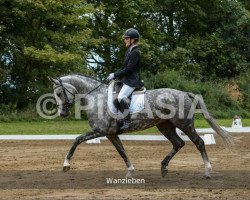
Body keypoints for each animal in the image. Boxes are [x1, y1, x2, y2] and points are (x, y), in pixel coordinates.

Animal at [49, 74, 233, 178]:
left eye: (59, 93)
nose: (62, 114)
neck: (96, 97)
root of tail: (185, 94)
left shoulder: (99, 131)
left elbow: (76, 140)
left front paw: (66, 165)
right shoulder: (110, 133)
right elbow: (122, 151)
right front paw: (130, 171)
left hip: (185, 124)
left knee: (199, 142)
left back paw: (207, 171)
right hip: (165, 126)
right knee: (178, 143)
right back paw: (163, 168)